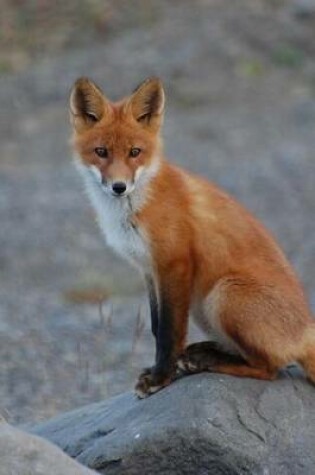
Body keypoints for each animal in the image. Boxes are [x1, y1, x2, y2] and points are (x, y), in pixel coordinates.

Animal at [69, 77, 315, 398]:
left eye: (135, 152)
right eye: (101, 152)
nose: (119, 187)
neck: (135, 208)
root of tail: (307, 331)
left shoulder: (174, 263)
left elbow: (169, 332)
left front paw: (160, 377)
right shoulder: (148, 269)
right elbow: (156, 325)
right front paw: (163, 370)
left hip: (223, 294)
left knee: (269, 368)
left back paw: (209, 361)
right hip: (203, 307)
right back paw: (202, 353)